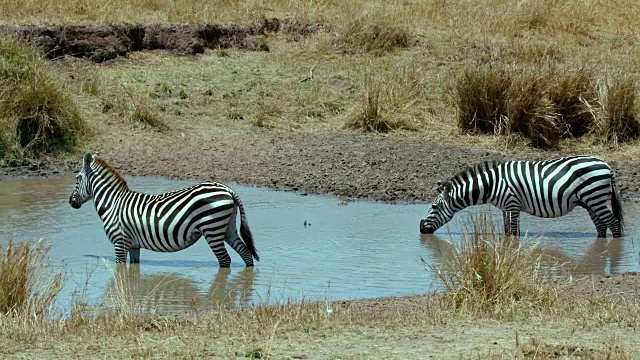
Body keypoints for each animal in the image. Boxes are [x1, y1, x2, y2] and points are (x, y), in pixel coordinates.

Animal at [69, 152, 258, 268]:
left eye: (77, 178)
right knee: (245, 253)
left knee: (225, 260)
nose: (70, 202)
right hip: (226, 228)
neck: (113, 203)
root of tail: (228, 190)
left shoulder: (120, 242)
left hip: (212, 228)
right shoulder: (133, 245)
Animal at [420, 155, 624, 238]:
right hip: (590, 202)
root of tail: (606, 165)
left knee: (613, 224)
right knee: (601, 226)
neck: (493, 184)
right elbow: (507, 230)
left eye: (435, 207)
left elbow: (514, 231)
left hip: (595, 197)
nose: (421, 228)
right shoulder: (505, 208)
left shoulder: (512, 204)